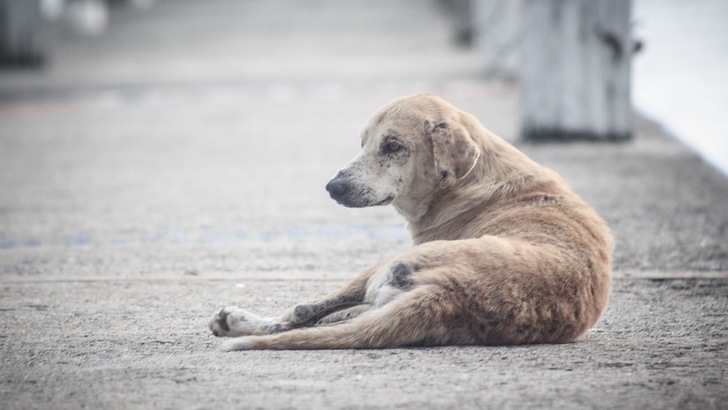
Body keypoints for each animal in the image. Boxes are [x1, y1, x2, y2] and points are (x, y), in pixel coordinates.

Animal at [208, 94, 612, 350]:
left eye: (393, 146)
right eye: (363, 143)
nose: (332, 187)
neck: (471, 179)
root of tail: (449, 294)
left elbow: (305, 310)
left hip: (385, 266)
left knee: (301, 315)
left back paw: (237, 322)